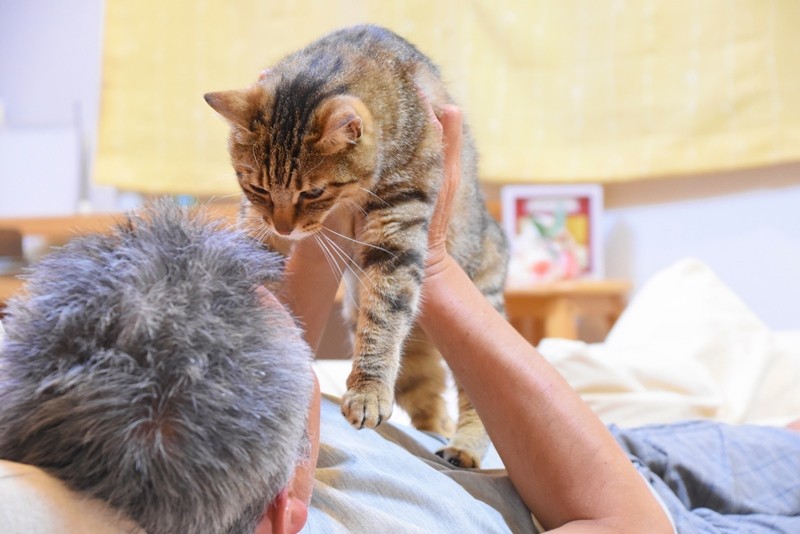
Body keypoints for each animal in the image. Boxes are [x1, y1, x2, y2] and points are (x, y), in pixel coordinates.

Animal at [204, 24, 508, 468]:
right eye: (257, 187)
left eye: (312, 192)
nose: (284, 226)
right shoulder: (257, 220)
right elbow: (252, 253)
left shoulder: (398, 223)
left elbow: (382, 318)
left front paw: (367, 390)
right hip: (411, 360)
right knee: (428, 401)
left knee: (475, 404)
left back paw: (462, 447)